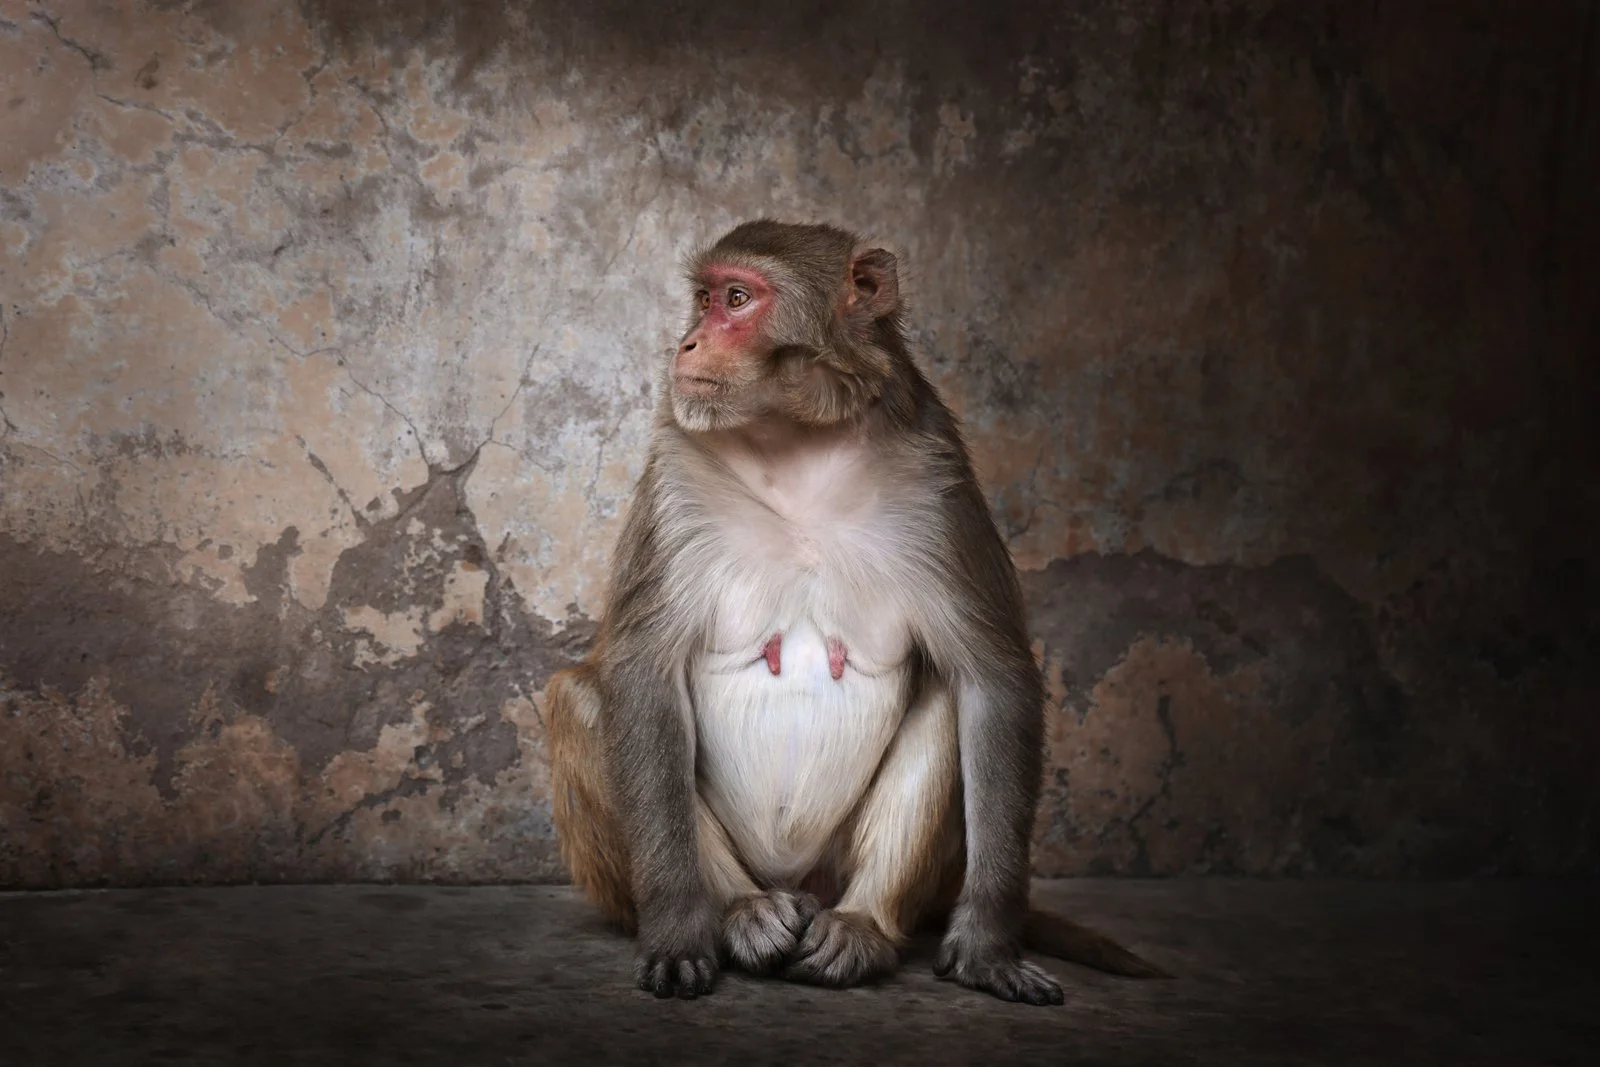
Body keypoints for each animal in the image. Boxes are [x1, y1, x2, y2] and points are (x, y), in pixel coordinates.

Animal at [546, 219, 1167, 1004]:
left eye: (737, 299)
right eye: (704, 298)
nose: (685, 343)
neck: (798, 442)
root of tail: (799, 884)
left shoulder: (938, 479)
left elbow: (992, 681)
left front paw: (987, 945)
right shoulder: (675, 473)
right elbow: (640, 672)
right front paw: (679, 931)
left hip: (842, 868)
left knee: (950, 702)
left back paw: (862, 927)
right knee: (583, 700)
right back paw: (740, 912)